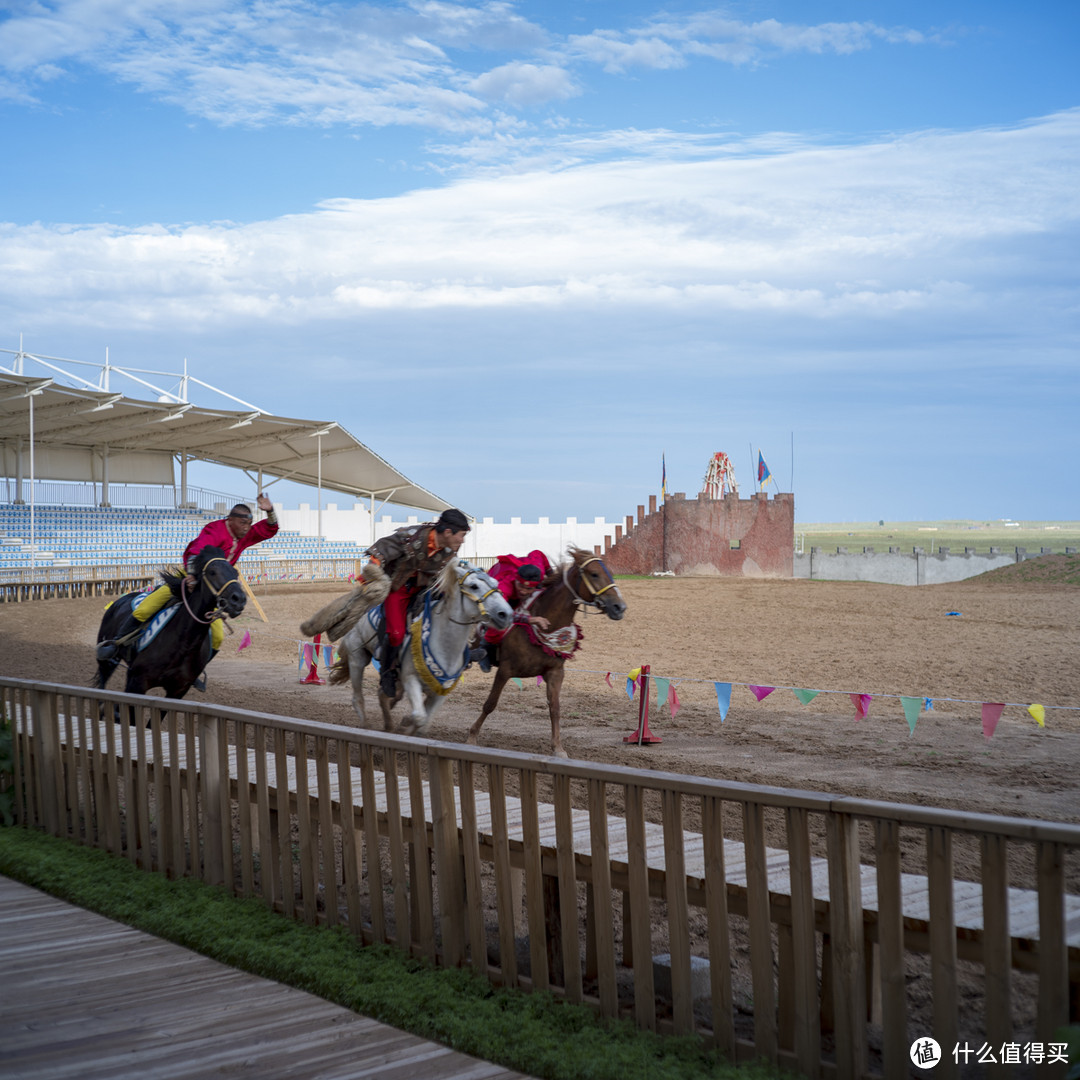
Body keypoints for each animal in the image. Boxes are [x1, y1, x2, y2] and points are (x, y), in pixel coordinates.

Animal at [92, 548, 247, 708]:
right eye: (212, 572)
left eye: (235, 573)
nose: (239, 599)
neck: (184, 644)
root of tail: (118, 602)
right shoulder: (137, 683)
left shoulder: (177, 692)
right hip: (106, 662)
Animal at [330, 561, 511, 738]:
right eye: (474, 586)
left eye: (495, 583)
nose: (506, 614)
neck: (445, 648)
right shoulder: (411, 680)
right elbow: (419, 717)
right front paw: (405, 728)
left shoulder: (441, 692)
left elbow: (424, 722)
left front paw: (405, 726)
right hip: (358, 658)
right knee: (358, 698)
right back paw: (366, 727)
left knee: (382, 694)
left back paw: (389, 725)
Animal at [464, 548, 626, 760]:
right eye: (594, 574)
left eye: (610, 573)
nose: (619, 607)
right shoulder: (505, 670)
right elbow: (490, 703)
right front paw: (472, 736)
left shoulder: (555, 672)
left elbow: (555, 709)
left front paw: (558, 748)